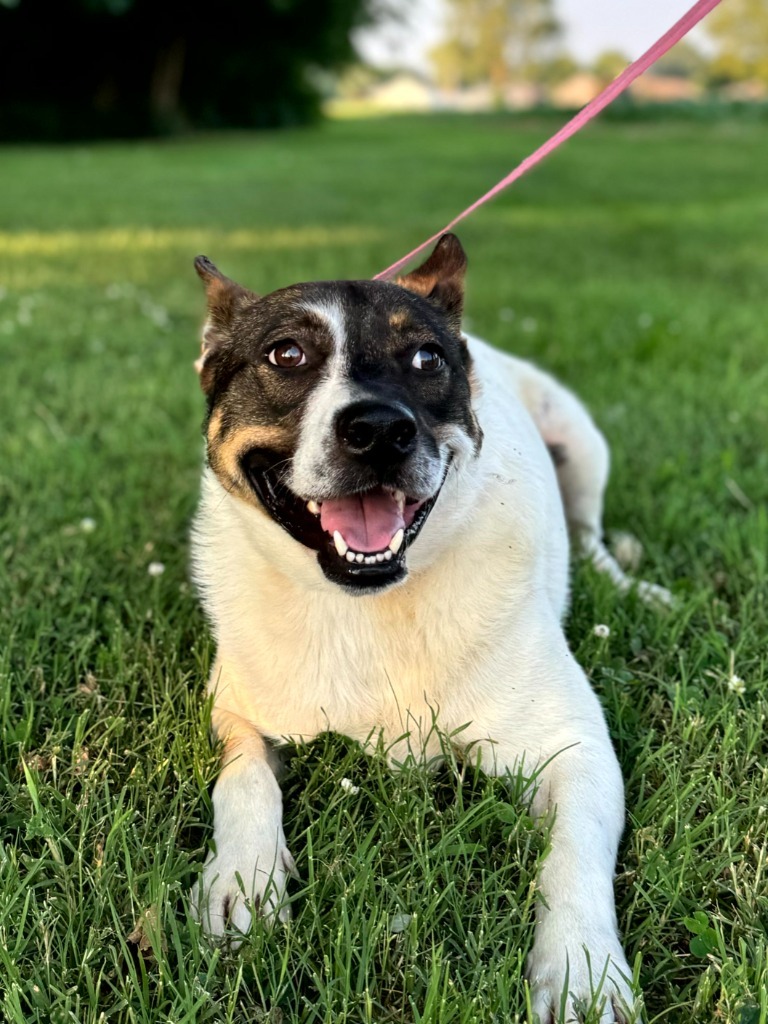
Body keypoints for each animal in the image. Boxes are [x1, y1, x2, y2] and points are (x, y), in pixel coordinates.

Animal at [188, 235, 667, 1019]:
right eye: (286, 354)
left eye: (425, 358)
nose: (380, 430)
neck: (369, 606)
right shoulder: (236, 710)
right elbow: (244, 779)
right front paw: (242, 880)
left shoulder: (575, 753)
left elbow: (571, 860)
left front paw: (580, 968)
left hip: (581, 442)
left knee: (592, 533)